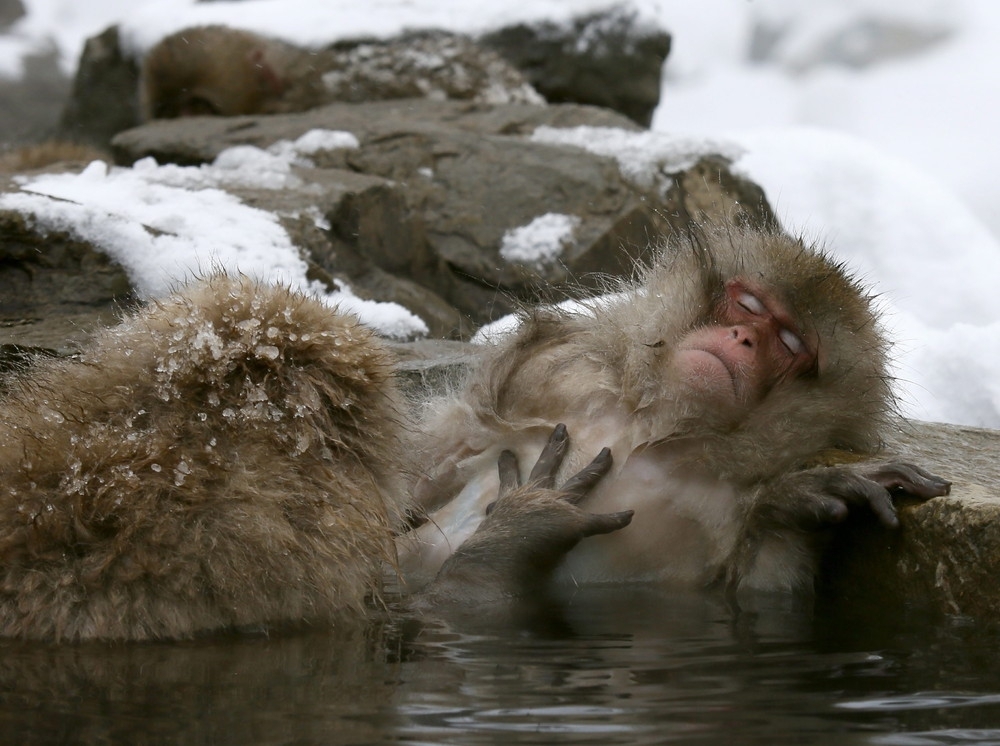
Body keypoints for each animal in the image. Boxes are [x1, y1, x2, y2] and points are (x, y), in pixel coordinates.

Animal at [396, 224, 944, 596]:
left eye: (789, 343)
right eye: (749, 306)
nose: (743, 339)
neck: (650, 425)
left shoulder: (723, 504)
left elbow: (758, 587)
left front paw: (792, 501)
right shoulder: (545, 369)